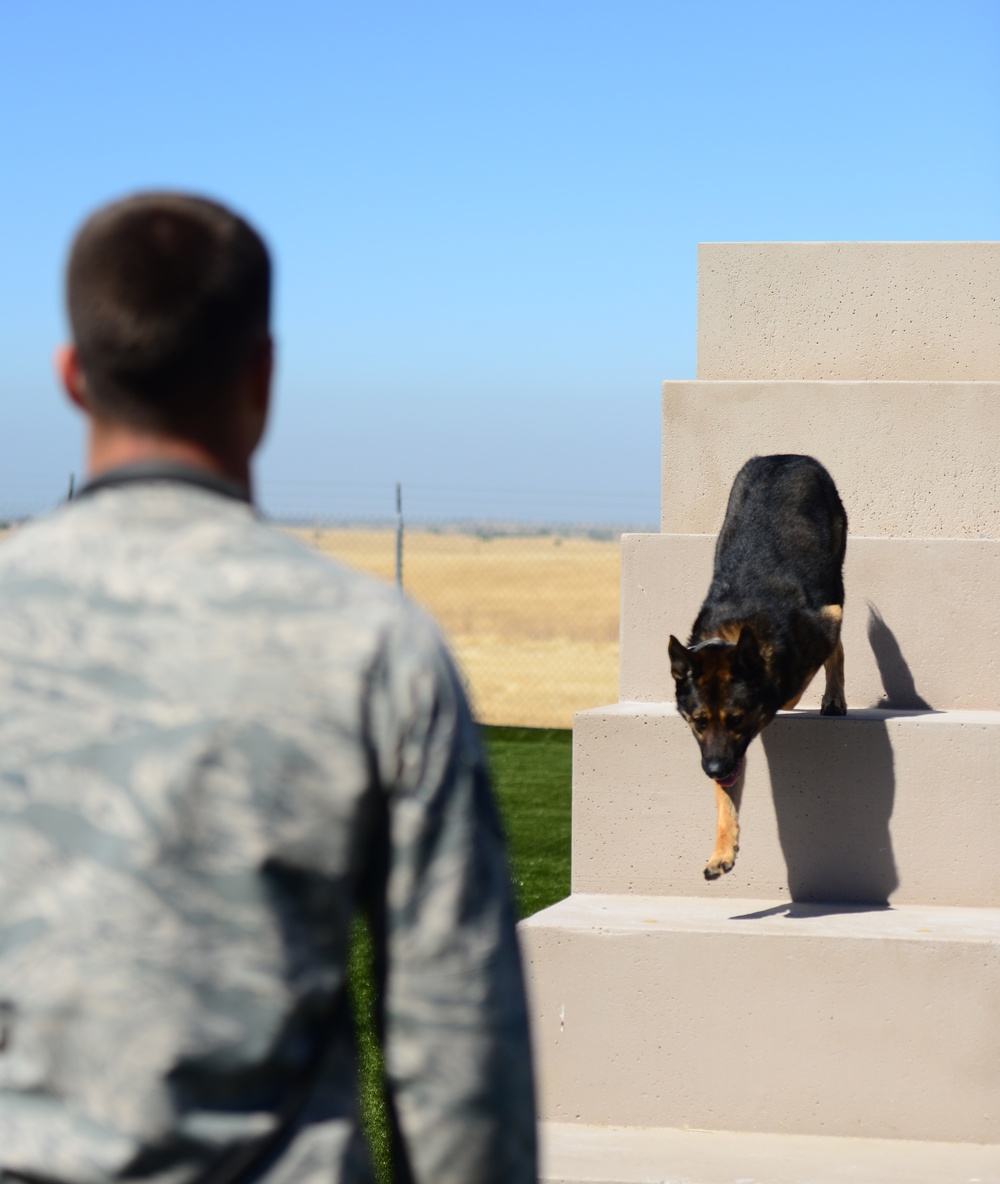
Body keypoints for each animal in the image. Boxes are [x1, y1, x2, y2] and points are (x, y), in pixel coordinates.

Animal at [672, 452, 842, 880]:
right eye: (698, 721)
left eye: (736, 718)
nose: (713, 768)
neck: (734, 635)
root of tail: (787, 456)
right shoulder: (720, 750)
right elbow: (725, 798)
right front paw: (722, 850)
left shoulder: (828, 618)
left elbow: (822, 661)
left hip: (834, 573)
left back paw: (834, 699)